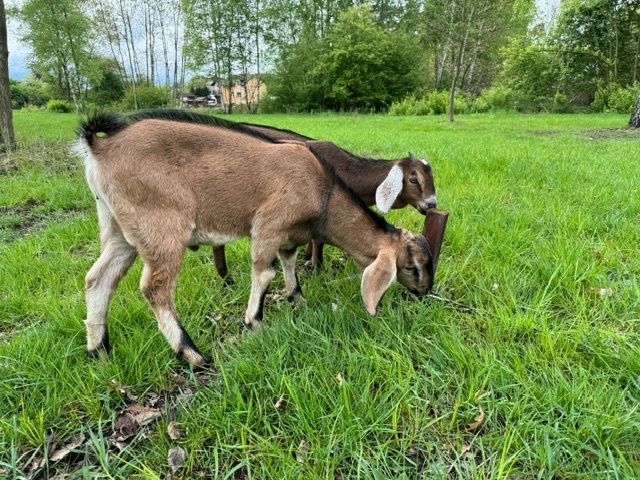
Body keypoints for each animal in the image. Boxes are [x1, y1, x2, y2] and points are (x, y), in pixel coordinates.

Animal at [212, 120, 438, 278]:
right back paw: (225, 277)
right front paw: (316, 267)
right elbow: (319, 240)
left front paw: (307, 258)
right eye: (413, 179)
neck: (349, 172)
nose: (431, 204)